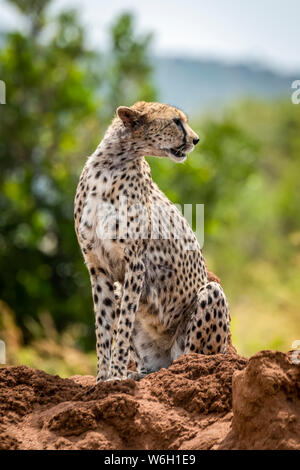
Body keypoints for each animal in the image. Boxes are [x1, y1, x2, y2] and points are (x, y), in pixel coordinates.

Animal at [74, 100, 230, 382]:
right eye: (176, 121)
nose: (196, 139)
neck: (112, 163)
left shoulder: (135, 264)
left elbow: (122, 325)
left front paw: (115, 376)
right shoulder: (97, 267)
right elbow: (103, 328)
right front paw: (102, 379)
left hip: (210, 298)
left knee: (190, 358)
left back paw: (181, 369)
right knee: (150, 367)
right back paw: (138, 375)